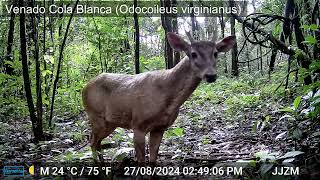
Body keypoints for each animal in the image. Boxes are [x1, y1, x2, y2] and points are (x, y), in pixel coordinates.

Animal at [82, 32, 236, 166]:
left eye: (215, 53)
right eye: (193, 54)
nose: (211, 75)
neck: (168, 100)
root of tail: (84, 88)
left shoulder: (159, 128)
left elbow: (153, 161)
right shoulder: (138, 124)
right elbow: (141, 163)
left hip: (110, 122)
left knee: (97, 142)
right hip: (95, 116)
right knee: (92, 142)